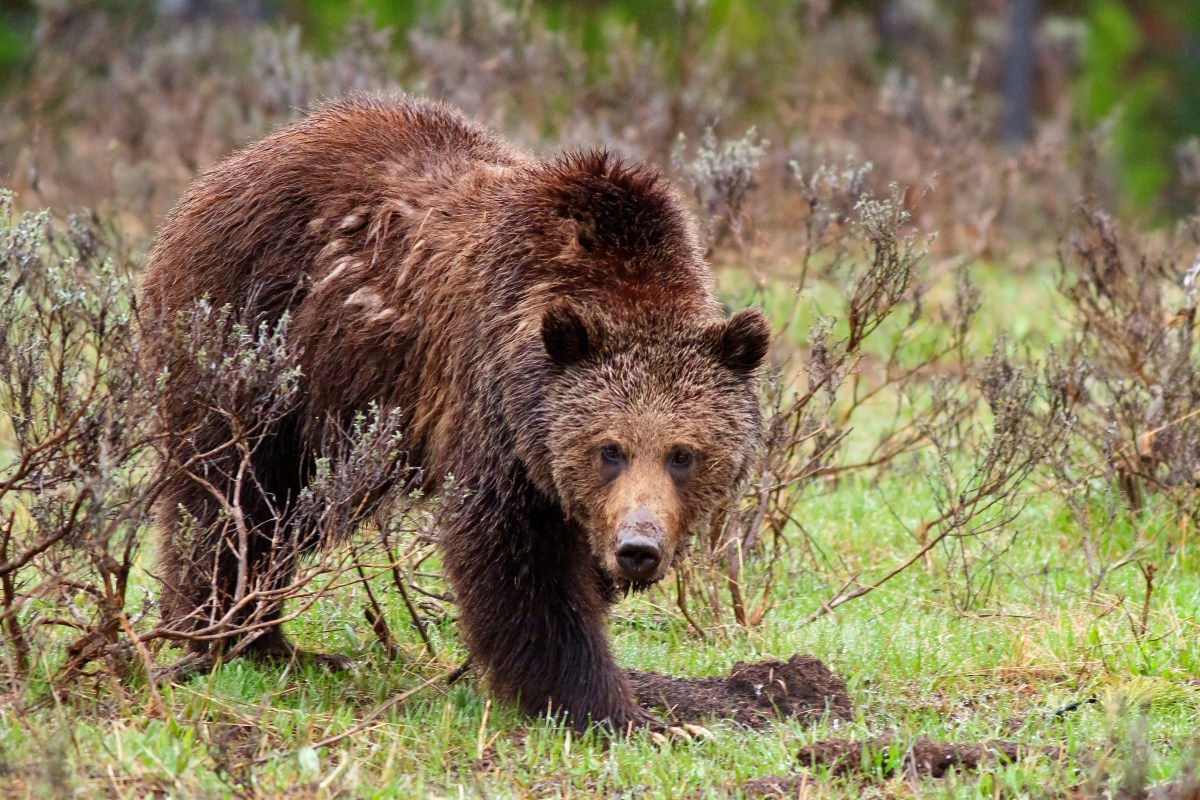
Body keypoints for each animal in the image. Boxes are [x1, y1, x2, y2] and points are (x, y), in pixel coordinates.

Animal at [138, 95, 758, 734]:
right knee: (231, 497)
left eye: (683, 455)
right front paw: (617, 711)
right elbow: (518, 564)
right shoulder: (494, 406)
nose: (638, 548)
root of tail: (217, 176)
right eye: (609, 449)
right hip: (258, 346)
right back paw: (230, 634)